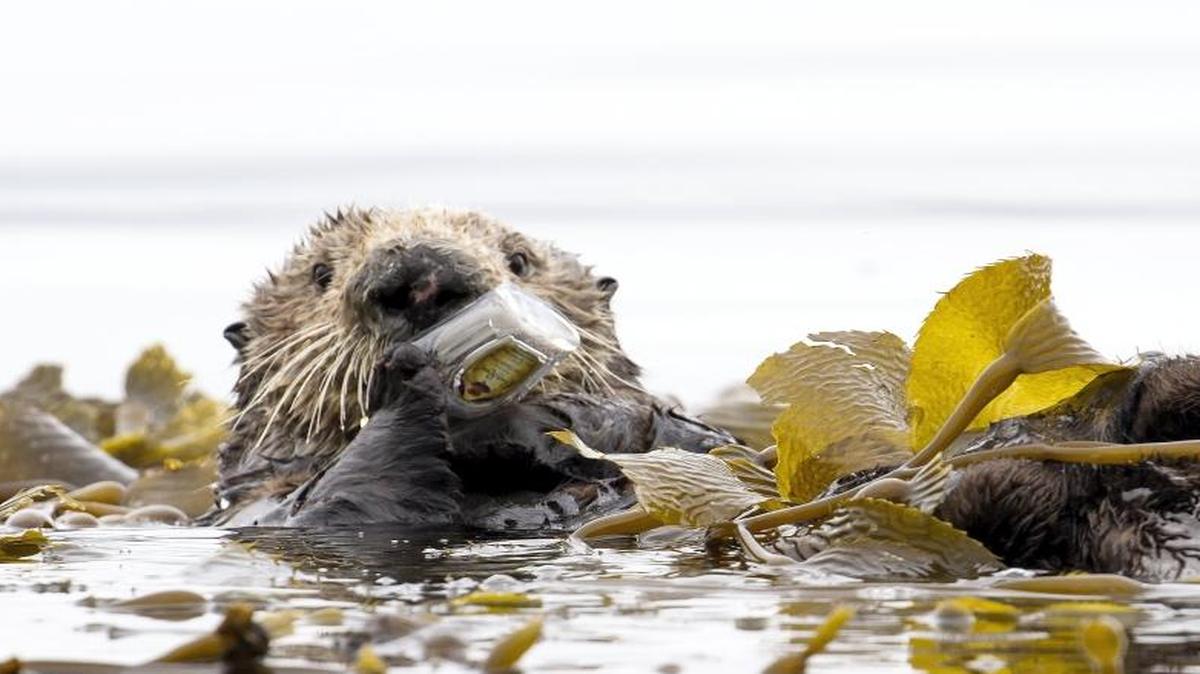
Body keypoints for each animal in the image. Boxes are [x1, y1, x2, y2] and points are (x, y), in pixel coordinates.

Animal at [207, 207, 733, 528]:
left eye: (519, 260)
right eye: (320, 274)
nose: (421, 278)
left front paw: (565, 418)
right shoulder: (263, 506)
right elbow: (340, 503)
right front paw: (410, 384)